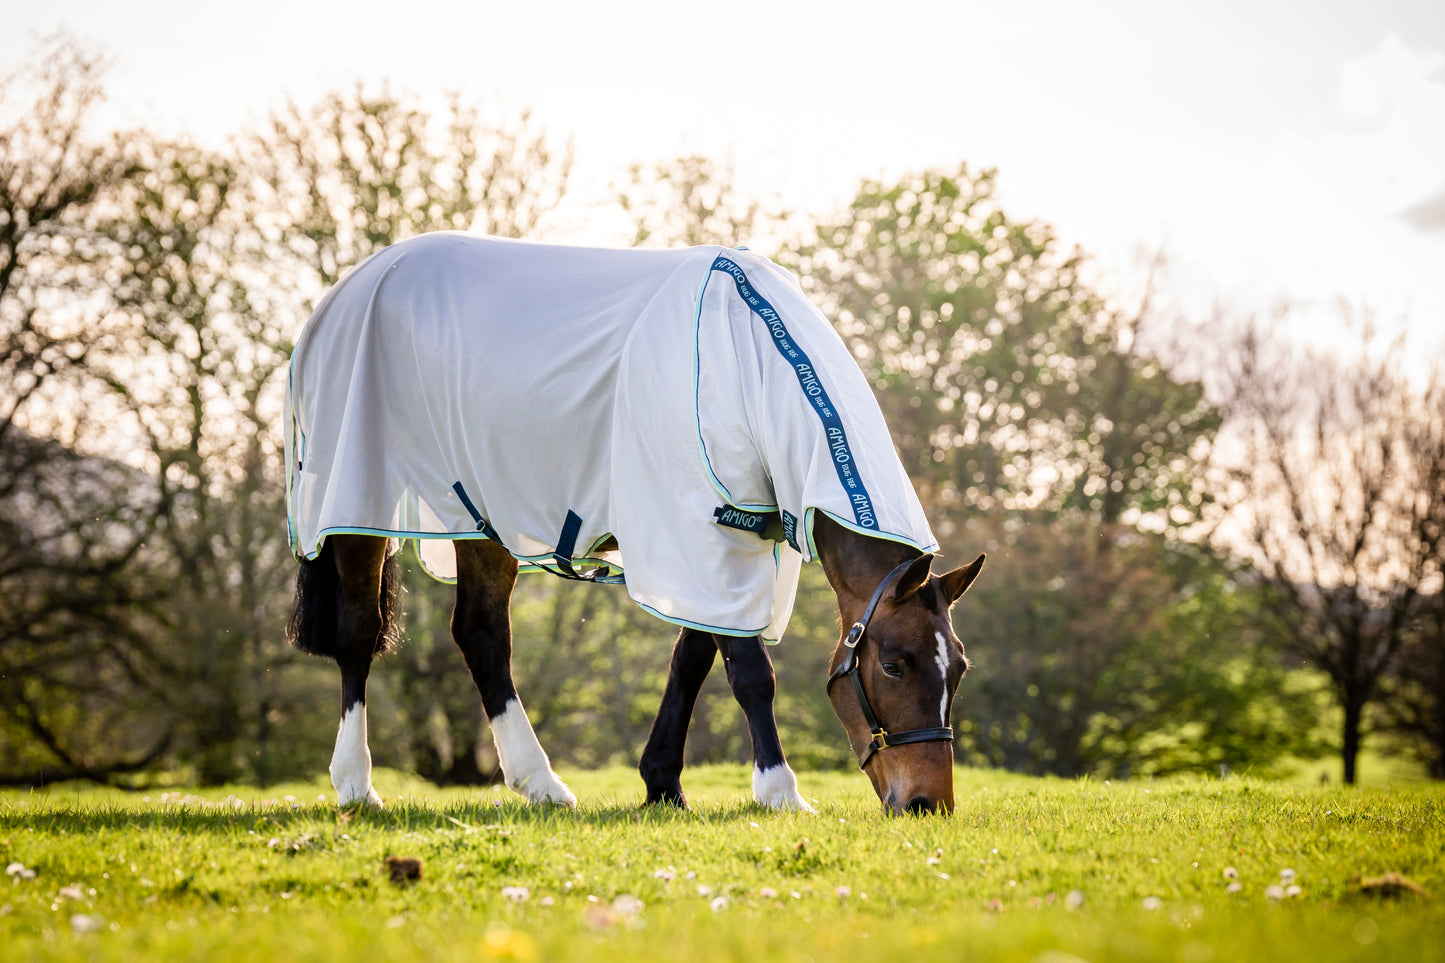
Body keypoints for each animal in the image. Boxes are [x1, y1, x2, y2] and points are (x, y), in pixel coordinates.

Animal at [281, 231, 982, 809]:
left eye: (959, 668)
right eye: (893, 665)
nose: (927, 802)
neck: (746, 360)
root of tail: (343, 294)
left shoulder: (722, 539)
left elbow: (692, 659)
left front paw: (663, 782)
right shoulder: (697, 533)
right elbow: (751, 673)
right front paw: (779, 792)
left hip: (481, 518)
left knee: (481, 634)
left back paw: (539, 783)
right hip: (358, 508)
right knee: (359, 634)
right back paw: (356, 787)